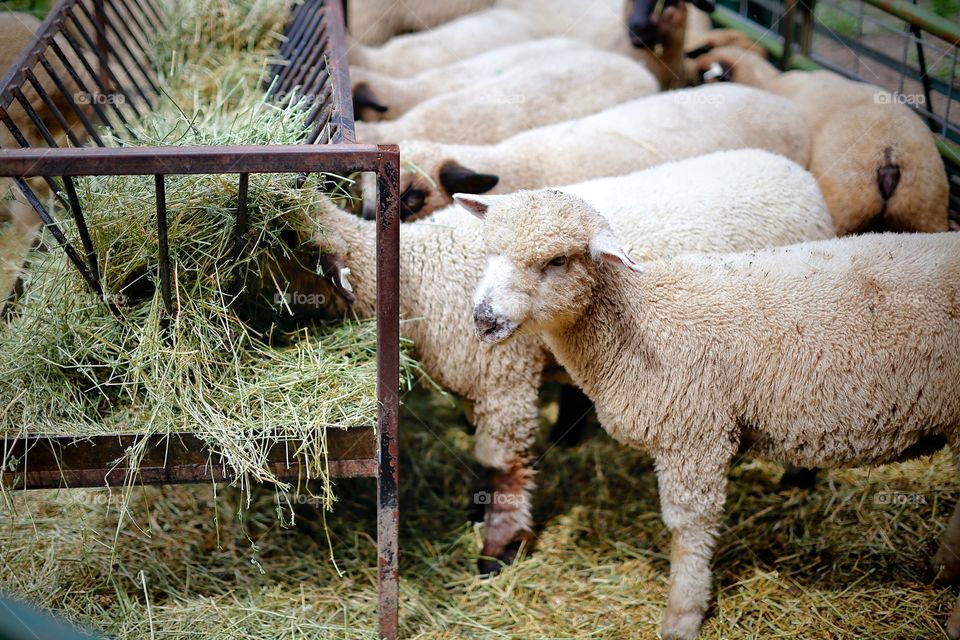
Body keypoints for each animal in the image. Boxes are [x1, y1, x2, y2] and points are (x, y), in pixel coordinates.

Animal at [282, 149, 834, 574]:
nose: (484, 321)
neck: (419, 273)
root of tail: (795, 172)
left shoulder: (503, 378)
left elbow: (503, 464)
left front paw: (499, 546)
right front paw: (478, 511)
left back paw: (799, 479)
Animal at [466, 190, 960, 640]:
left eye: (558, 260)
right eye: (488, 250)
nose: (484, 319)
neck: (641, 320)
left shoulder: (694, 434)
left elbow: (689, 530)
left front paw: (681, 616)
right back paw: (941, 569)